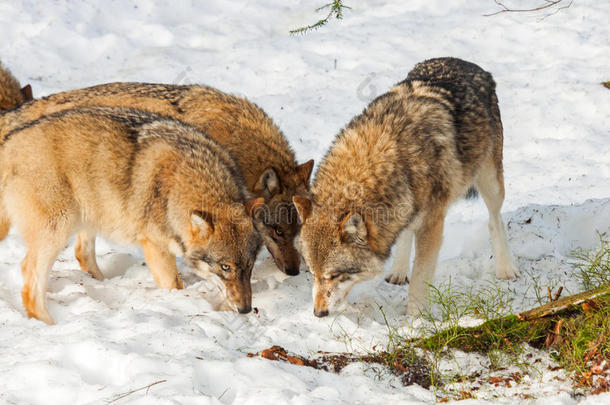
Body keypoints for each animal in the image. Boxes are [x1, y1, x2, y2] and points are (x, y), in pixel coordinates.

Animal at [0, 105, 262, 324]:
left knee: (82, 254)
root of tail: (9, 143)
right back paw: (49, 325)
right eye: (225, 267)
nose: (246, 310)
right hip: (58, 229)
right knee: (29, 277)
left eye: (249, 265)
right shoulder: (156, 246)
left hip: (89, 215)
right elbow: (175, 285)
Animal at [294, 57, 516, 316]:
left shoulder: (432, 225)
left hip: (490, 181)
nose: (318, 313)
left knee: (495, 219)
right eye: (313, 274)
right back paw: (398, 271)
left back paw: (506, 268)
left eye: (335, 275)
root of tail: (466, 62)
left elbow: (420, 277)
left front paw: (415, 319)